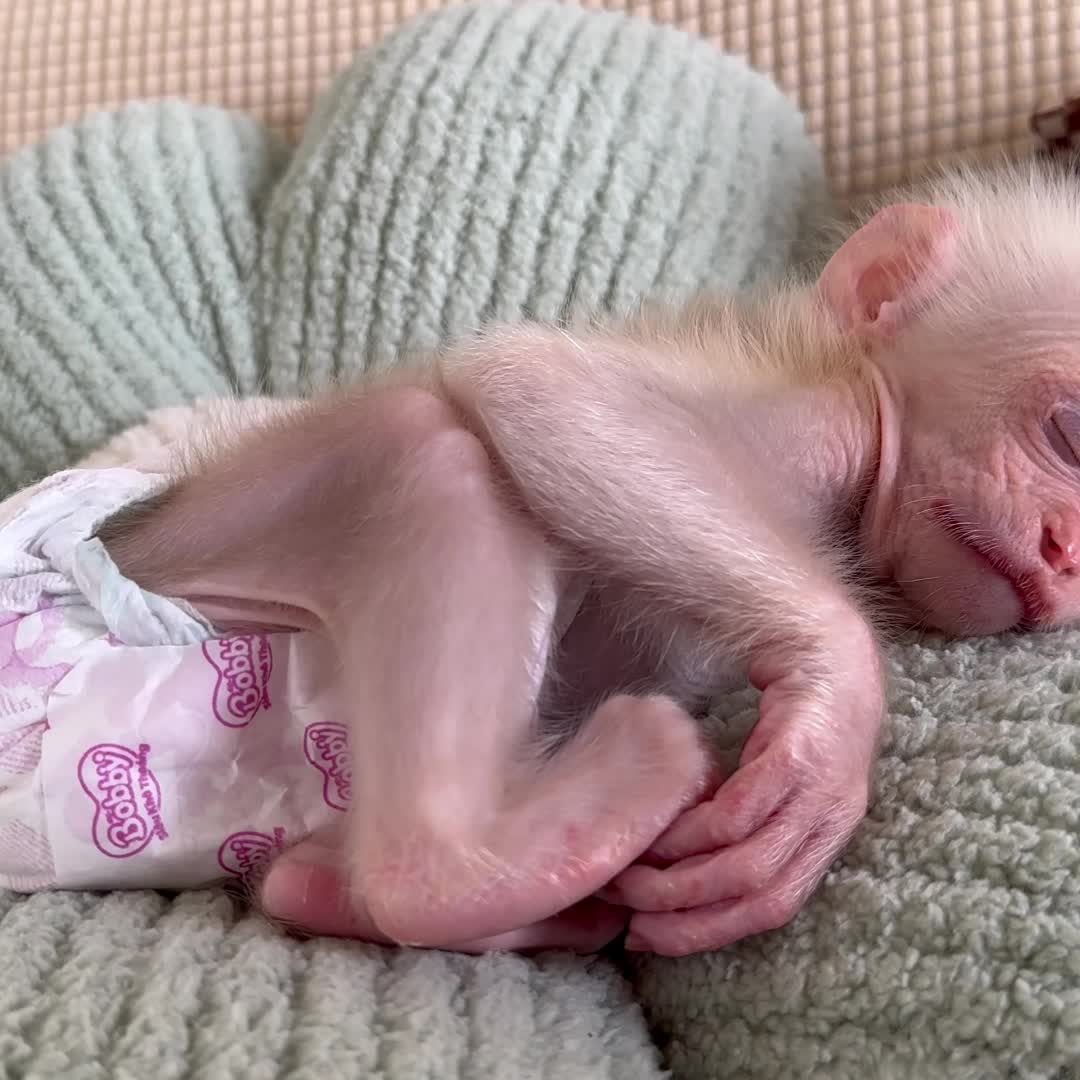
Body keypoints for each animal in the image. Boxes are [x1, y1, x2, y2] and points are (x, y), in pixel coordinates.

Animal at [91, 161, 1080, 957]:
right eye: (1070, 432)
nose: (1063, 555)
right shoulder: (825, 425)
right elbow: (540, 388)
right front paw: (833, 718)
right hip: (201, 557)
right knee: (426, 444)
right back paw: (471, 863)